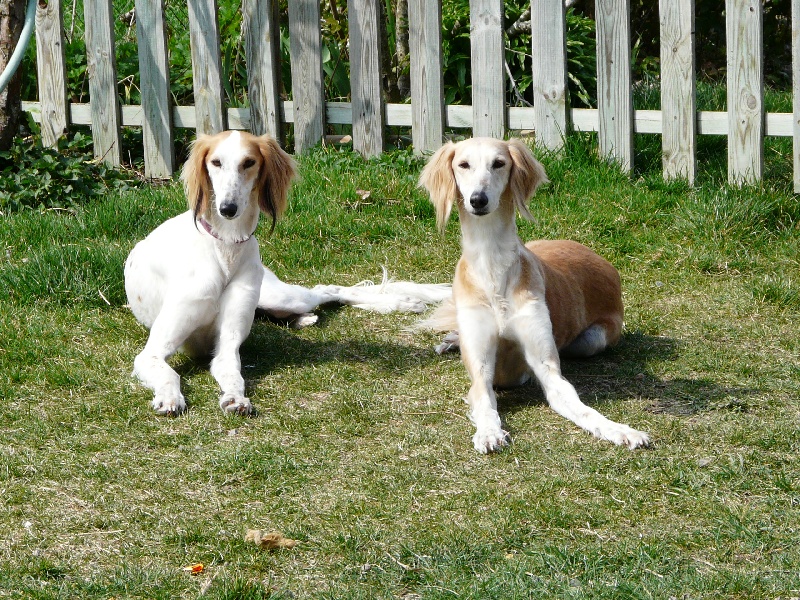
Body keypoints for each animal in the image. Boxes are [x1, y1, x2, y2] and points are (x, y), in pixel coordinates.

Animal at [126, 131, 450, 414]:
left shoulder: (227, 345)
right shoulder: (151, 352)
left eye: (248, 162)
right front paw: (169, 398)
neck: (226, 248)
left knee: (329, 290)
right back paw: (304, 319)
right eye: (215, 162)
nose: (228, 208)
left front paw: (235, 399)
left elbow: (233, 374)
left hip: (278, 295)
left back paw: (400, 302)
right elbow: (170, 373)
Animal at [418, 138, 648, 452]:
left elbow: (584, 409)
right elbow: (485, 404)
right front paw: (489, 432)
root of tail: (606, 264)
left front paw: (620, 429)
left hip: (593, 339)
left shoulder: (548, 370)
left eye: (499, 163)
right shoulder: (480, 373)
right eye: (463, 164)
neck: (492, 266)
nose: (478, 199)